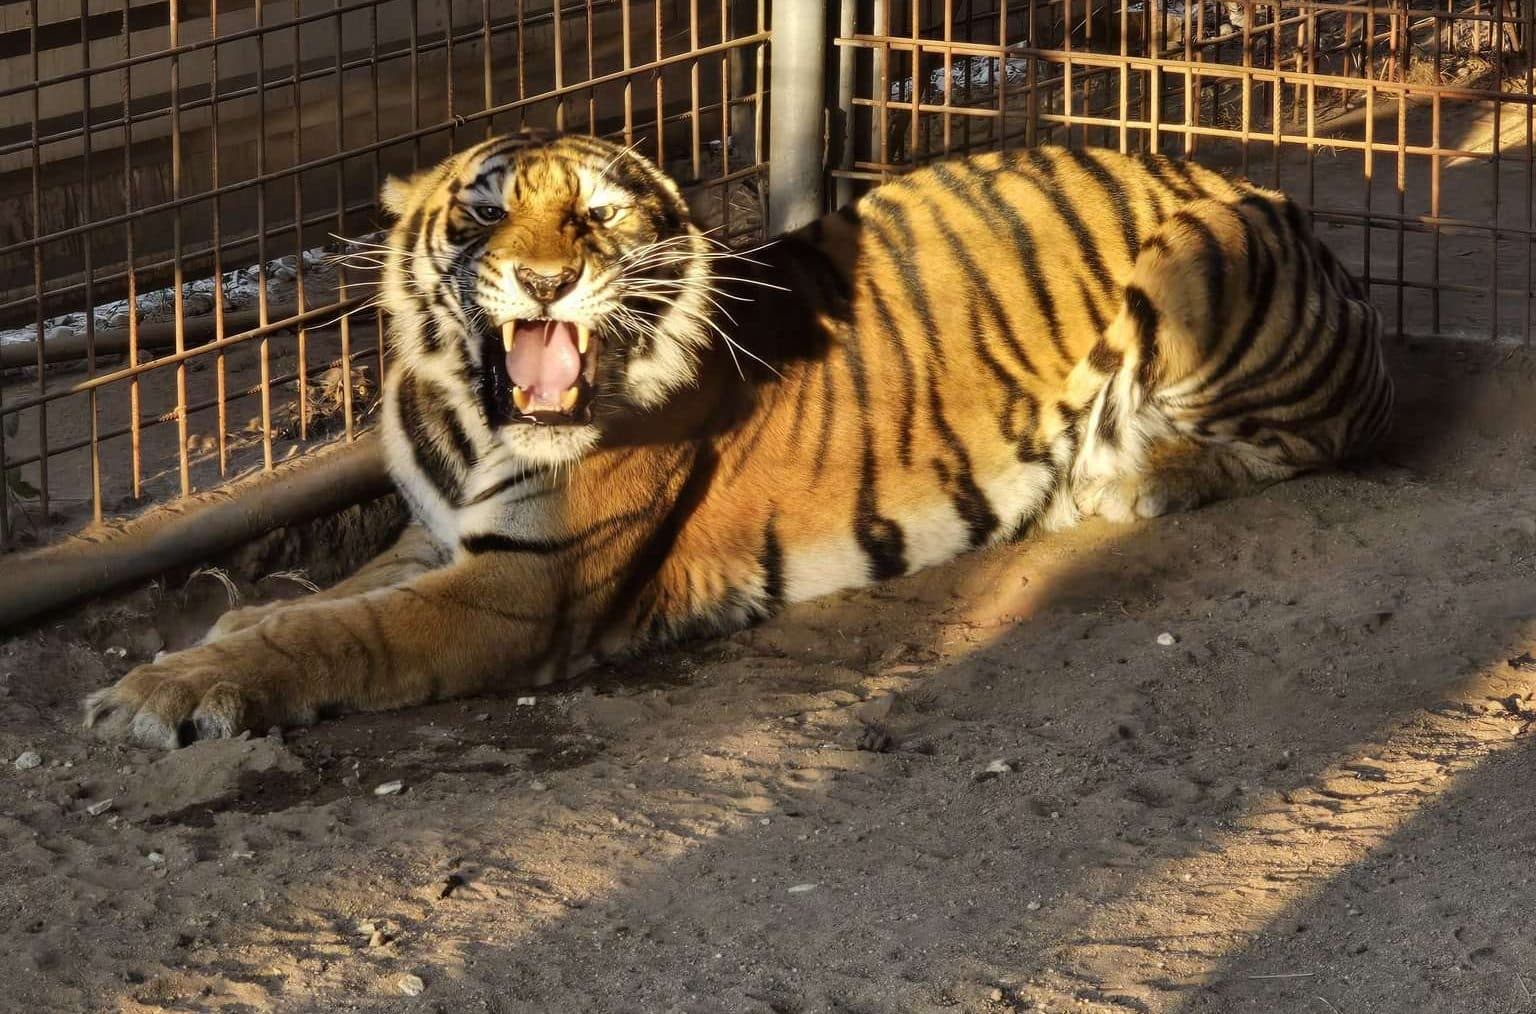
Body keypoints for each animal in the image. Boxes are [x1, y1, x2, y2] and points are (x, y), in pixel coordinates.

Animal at [83, 131, 1392, 749]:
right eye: (483, 211)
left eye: (597, 215)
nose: (546, 280)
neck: (466, 407)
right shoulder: (442, 536)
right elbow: (328, 596)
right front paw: (218, 637)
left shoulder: (523, 590)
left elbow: (342, 633)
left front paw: (164, 689)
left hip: (1203, 254)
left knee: (1314, 441)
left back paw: (1125, 482)